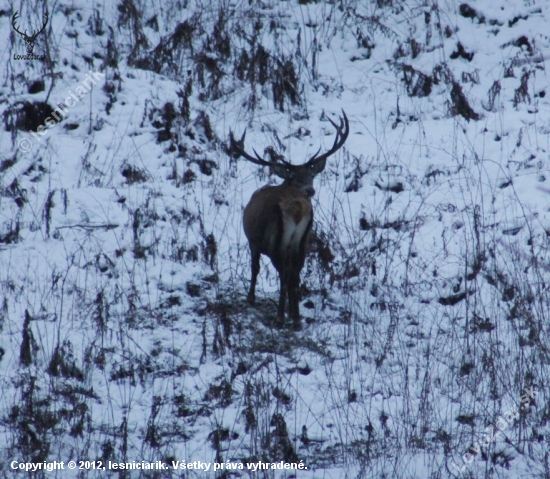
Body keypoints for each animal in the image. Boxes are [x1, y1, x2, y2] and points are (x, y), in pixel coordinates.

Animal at [230, 111, 349, 330]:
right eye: (294, 176)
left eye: (311, 174)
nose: (310, 190)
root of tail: (297, 208)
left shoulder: (253, 242)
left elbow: (255, 268)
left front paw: (250, 299)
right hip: (303, 239)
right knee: (296, 271)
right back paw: (296, 318)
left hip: (275, 240)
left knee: (284, 272)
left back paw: (281, 316)